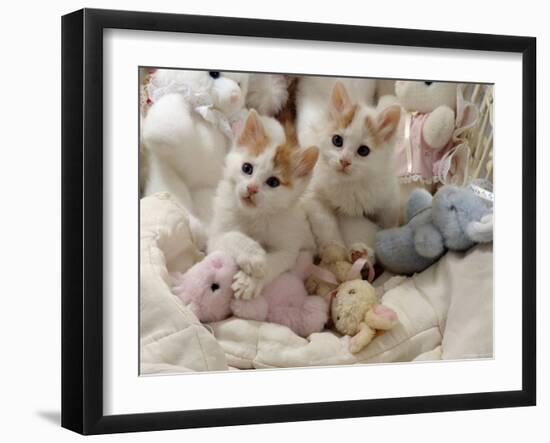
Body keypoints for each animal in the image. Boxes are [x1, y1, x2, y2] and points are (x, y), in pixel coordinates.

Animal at [141, 70, 249, 232]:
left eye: (239, 84)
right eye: (214, 74)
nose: (235, 95)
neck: (209, 113)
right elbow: (163, 131)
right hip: (167, 180)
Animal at [208, 109, 322, 300]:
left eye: (273, 182)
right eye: (247, 168)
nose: (252, 188)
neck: (255, 215)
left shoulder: (289, 245)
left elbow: (276, 260)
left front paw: (250, 282)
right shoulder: (214, 237)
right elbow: (232, 236)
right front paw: (253, 255)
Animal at [304, 82, 404, 264]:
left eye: (363, 151)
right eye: (337, 140)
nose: (344, 161)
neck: (350, 184)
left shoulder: (388, 197)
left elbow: (387, 224)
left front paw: (370, 252)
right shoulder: (313, 194)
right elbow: (326, 225)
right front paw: (334, 252)